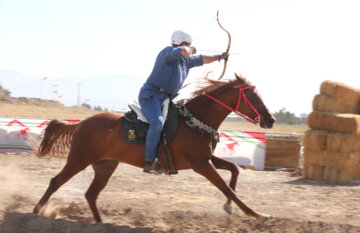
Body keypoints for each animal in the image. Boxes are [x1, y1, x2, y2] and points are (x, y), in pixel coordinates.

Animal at [33, 74, 276, 224]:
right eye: (253, 96)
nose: (271, 120)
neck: (195, 122)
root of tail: (82, 123)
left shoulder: (206, 159)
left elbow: (234, 170)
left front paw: (228, 207)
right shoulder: (201, 164)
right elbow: (227, 188)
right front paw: (256, 215)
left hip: (105, 165)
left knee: (91, 194)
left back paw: (100, 222)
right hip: (78, 159)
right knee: (56, 182)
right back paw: (36, 211)